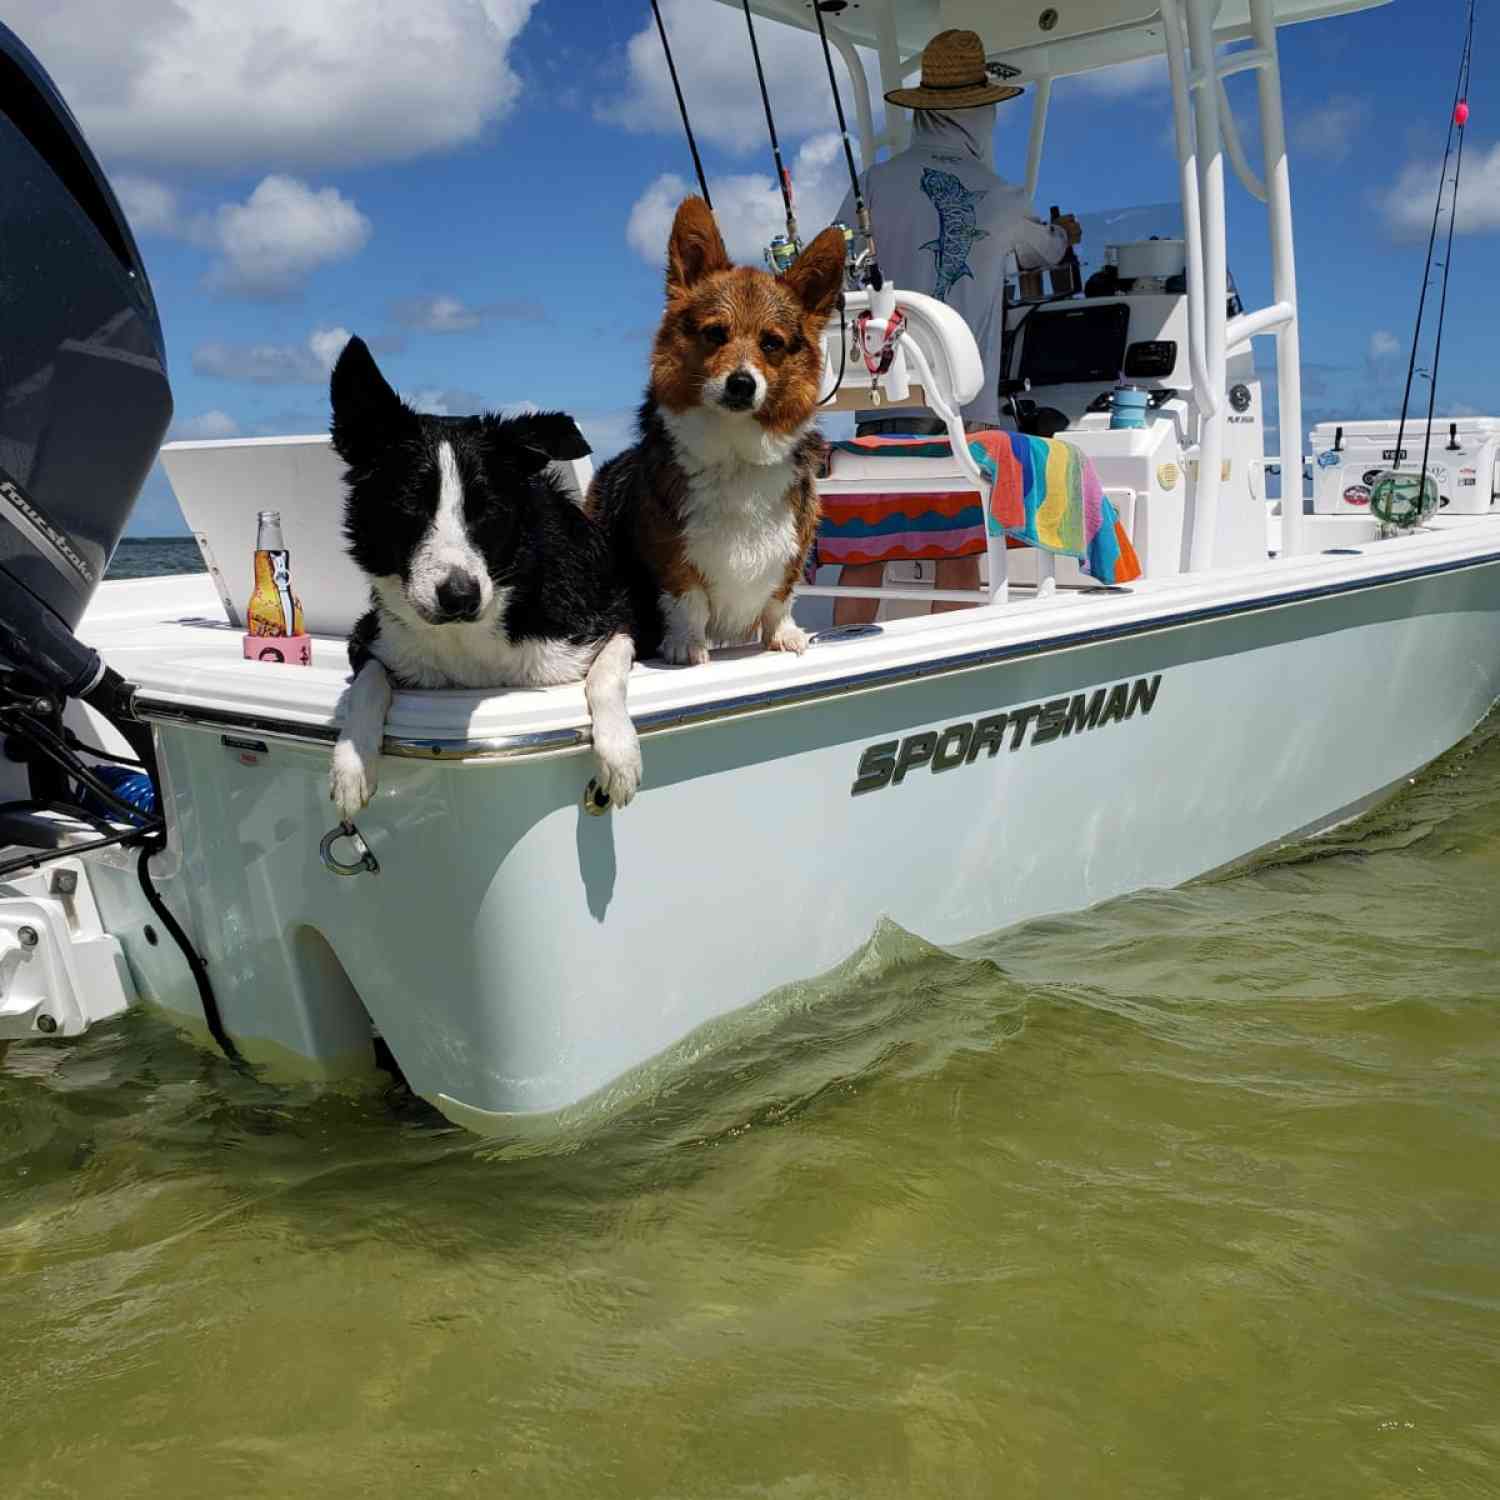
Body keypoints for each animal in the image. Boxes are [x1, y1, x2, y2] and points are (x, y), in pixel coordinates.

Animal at [327, 337, 639, 822]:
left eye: (487, 510)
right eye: (410, 504)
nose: (460, 597)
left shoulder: (610, 618)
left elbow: (605, 674)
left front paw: (620, 754)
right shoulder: (370, 636)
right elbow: (368, 682)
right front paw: (351, 762)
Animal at [585, 196, 846, 666]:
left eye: (771, 343)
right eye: (715, 333)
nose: (742, 384)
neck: (735, 449)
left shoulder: (793, 549)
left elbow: (780, 598)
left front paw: (784, 635)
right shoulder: (672, 555)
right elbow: (688, 601)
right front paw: (686, 645)